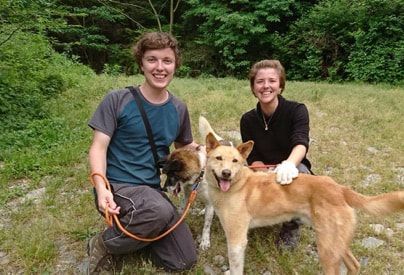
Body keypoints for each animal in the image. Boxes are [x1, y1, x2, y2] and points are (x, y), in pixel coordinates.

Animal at [205, 133, 404, 275]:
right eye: (218, 158)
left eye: (235, 161)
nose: (226, 173)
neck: (236, 185)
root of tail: (339, 188)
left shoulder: (237, 240)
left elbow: (236, 268)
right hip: (335, 241)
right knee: (354, 265)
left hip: (327, 249)